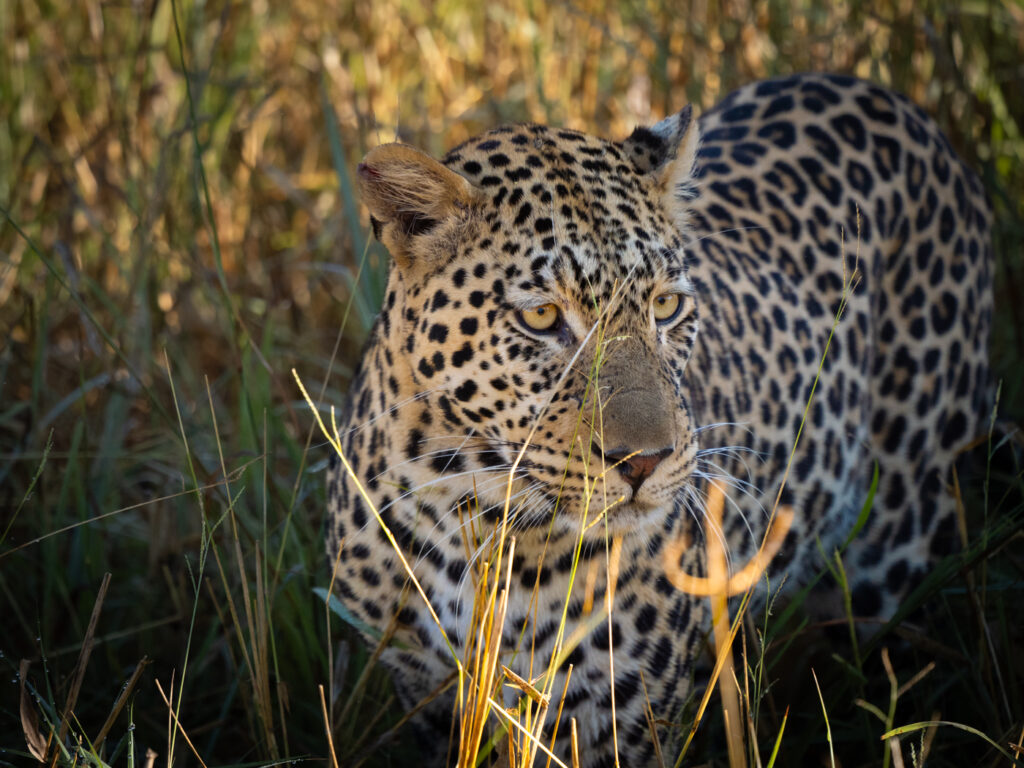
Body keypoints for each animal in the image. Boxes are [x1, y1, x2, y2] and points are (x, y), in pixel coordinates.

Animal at [325, 73, 992, 766]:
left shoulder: (618, 724)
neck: (477, 520)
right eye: (542, 317)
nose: (644, 462)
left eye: (666, 306)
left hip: (903, 544)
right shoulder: (426, 696)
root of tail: (889, 96)